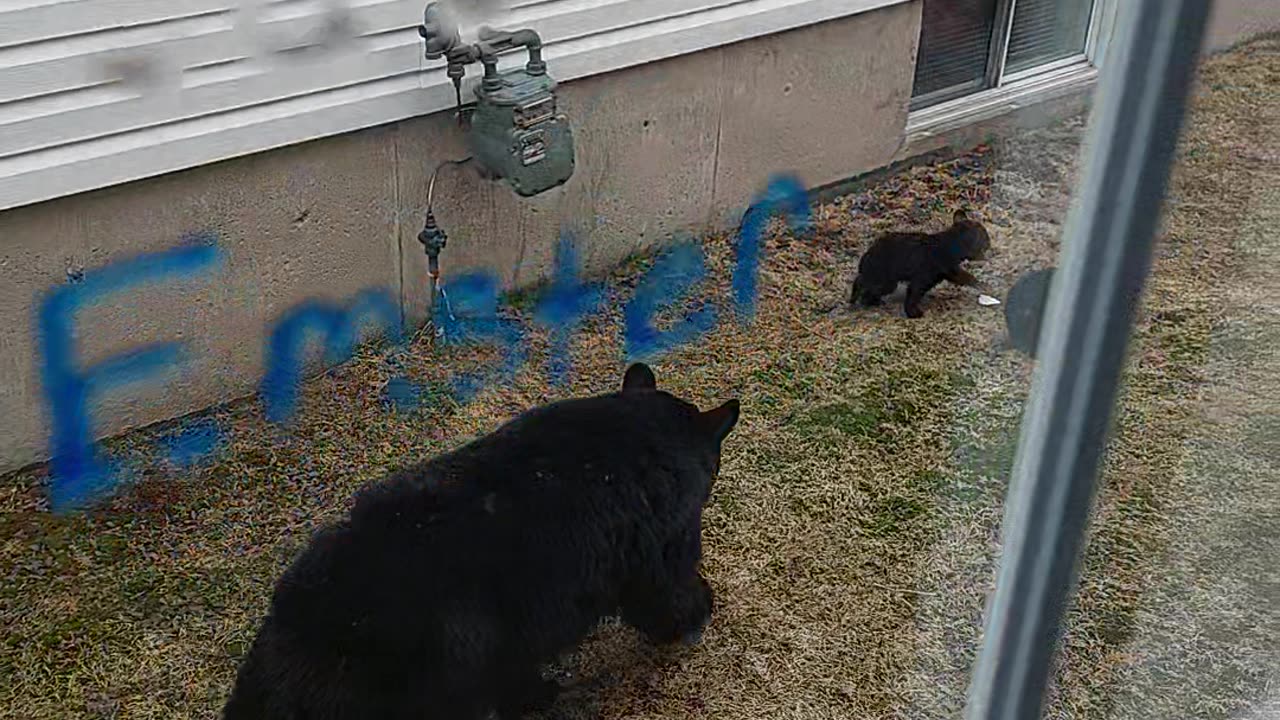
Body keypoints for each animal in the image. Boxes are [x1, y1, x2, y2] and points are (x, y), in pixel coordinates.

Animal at [849, 208, 988, 317]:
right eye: (985, 238)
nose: (989, 243)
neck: (950, 245)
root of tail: (867, 255)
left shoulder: (947, 273)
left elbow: (966, 278)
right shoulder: (925, 278)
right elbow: (913, 295)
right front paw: (913, 313)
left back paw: (870, 301)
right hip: (885, 282)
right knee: (861, 282)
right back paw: (861, 300)